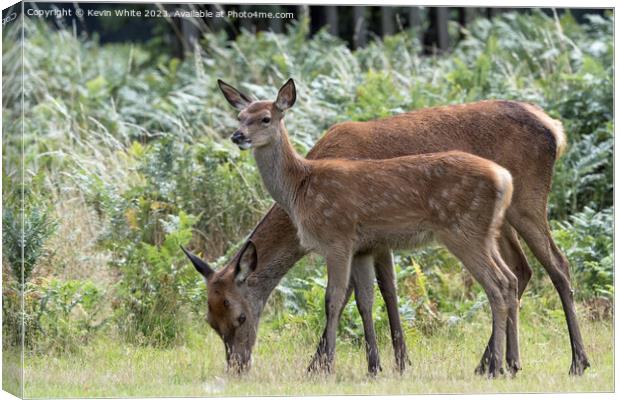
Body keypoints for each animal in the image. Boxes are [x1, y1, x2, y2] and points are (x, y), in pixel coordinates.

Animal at [183, 76, 588, 378]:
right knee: (520, 271)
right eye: (210, 319)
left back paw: (573, 361)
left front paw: (323, 364)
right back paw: (498, 361)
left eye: (240, 315)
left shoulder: (351, 238)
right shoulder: (371, 243)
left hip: (524, 203)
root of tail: (557, 129)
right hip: (498, 224)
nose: (236, 366)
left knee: (557, 266)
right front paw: (390, 362)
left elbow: (353, 295)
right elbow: (376, 296)